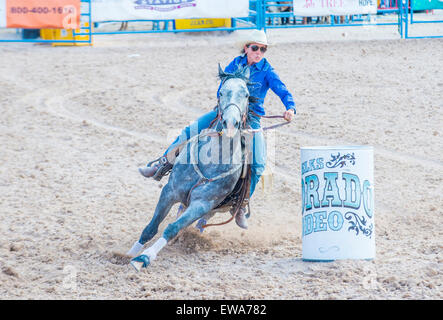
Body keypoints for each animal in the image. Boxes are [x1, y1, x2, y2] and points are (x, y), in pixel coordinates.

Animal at [126, 66, 255, 272]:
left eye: (247, 94)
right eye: (221, 92)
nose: (230, 123)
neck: (212, 161)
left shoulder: (202, 204)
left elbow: (172, 228)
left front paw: (144, 257)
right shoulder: (169, 191)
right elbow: (151, 227)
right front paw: (129, 253)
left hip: (212, 209)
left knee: (198, 223)